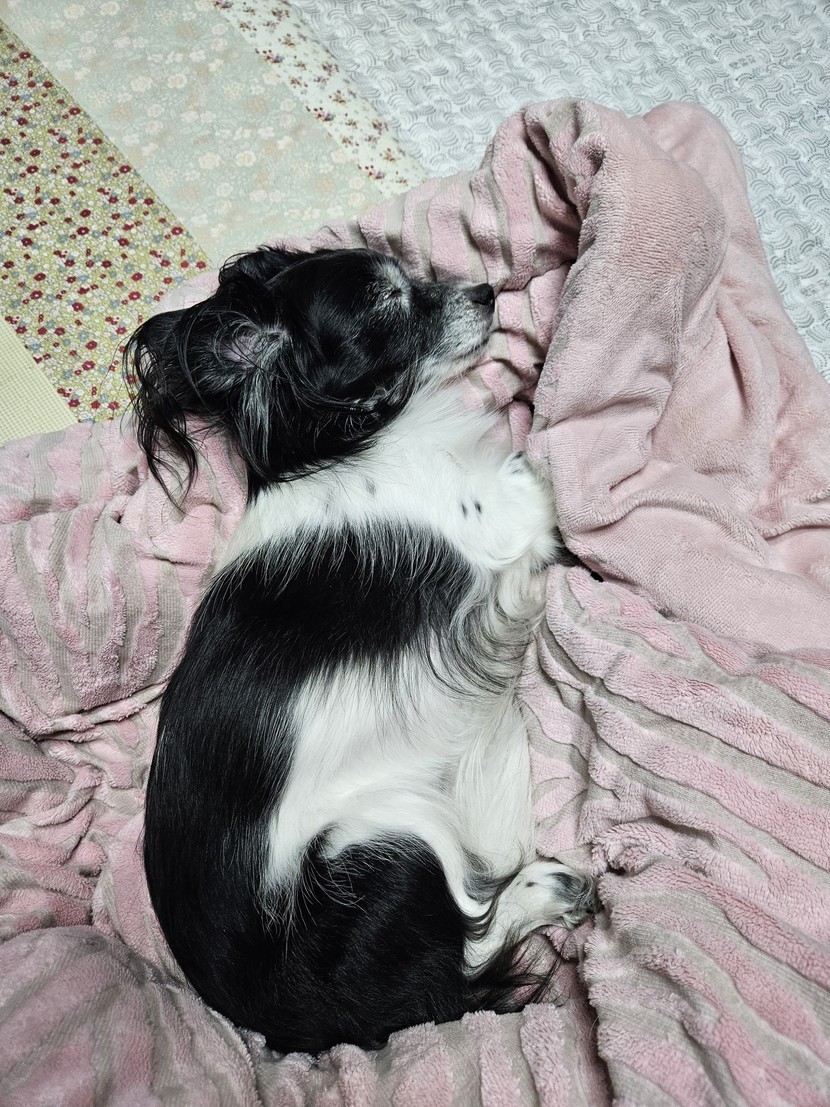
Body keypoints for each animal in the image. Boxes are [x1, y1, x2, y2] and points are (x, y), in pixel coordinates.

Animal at [126, 245, 597, 1054]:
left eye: (415, 270)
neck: (345, 449)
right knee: (463, 956)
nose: (484, 291)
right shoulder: (506, 516)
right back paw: (552, 889)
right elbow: (534, 467)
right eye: (387, 304)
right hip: (386, 842)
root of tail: (311, 1019)